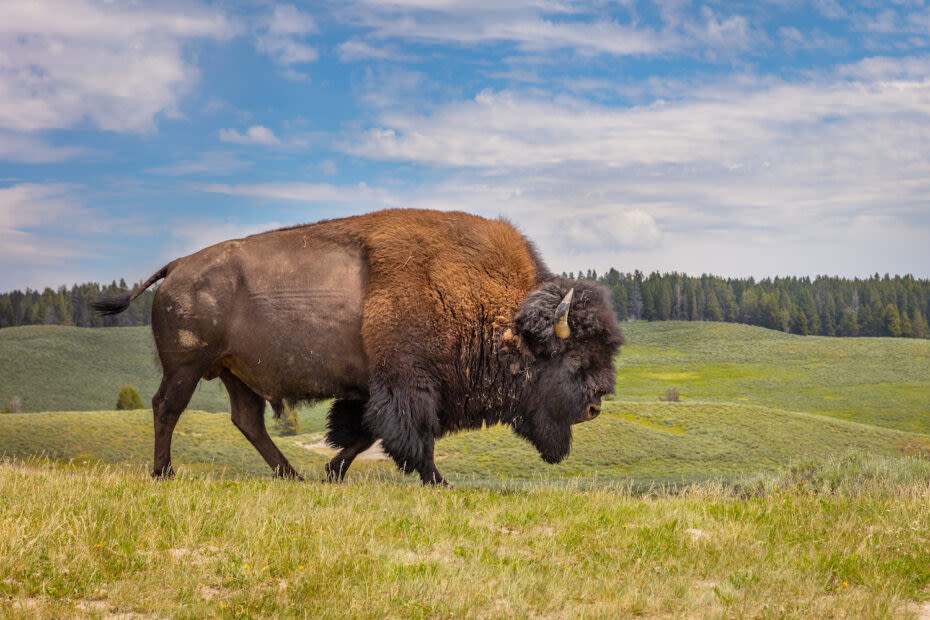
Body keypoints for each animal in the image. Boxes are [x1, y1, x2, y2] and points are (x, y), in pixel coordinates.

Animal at [92, 208, 624, 484]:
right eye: (576, 358)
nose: (595, 406)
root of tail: (176, 266)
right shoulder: (408, 385)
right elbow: (410, 436)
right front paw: (438, 480)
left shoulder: (373, 388)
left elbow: (365, 433)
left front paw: (331, 472)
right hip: (186, 366)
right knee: (167, 407)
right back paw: (164, 473)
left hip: (234, 372)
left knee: (247, 420)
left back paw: (292, 476)